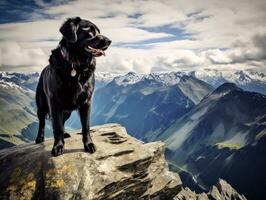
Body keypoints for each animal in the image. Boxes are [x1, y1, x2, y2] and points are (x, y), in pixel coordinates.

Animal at [35, 16, 111, 156]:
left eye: (98, 31)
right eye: (90, 31)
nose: (109, 41)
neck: (76, 64)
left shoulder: (86, 102)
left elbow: (85, 126)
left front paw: (89, 144)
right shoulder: (54, 103)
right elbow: (57, 127)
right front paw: (58, 146)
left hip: (67, 111)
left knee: (63, 121)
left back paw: (65, 134)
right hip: (42, 105)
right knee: (42, 122)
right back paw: (40, 137)